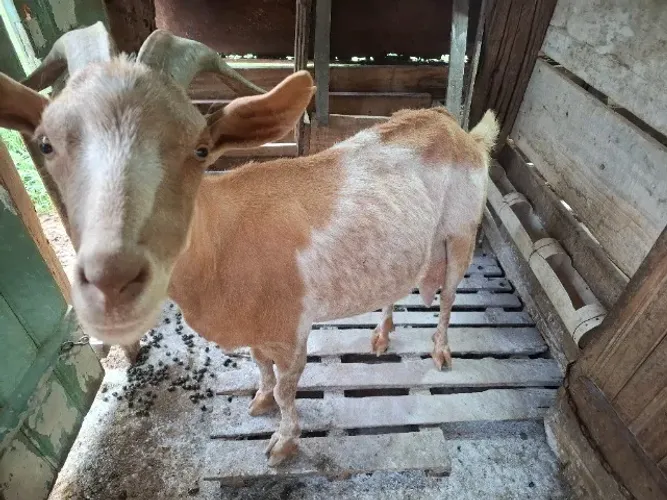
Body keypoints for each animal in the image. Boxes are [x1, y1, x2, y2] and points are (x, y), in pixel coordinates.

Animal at [0, 23, 499, 466]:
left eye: (201, 149)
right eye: (45, 144)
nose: (112, 279)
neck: (223, 241)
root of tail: (459, 129)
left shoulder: (291, 329)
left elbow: (287, 385)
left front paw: (283, 443)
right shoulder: (257, 329)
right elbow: (261, 367)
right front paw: (259, 401)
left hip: (461, 230)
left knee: (449, 295)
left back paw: (440, 351)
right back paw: (381, 334)